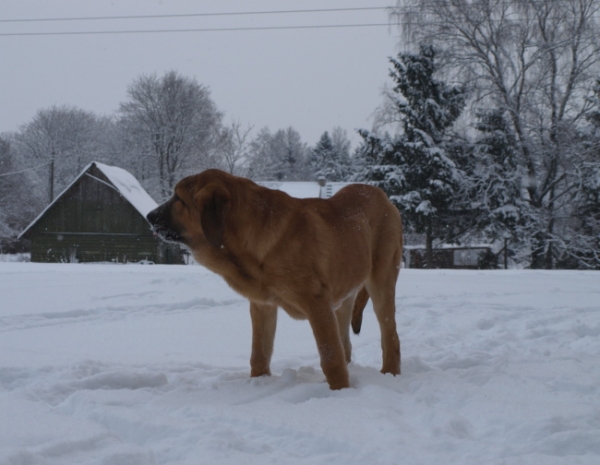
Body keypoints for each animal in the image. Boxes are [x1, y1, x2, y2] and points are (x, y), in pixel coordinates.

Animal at [146, 169, 404, 388]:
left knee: (390, 336)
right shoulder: (263, 306)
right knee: (346, 343)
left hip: (381, 282)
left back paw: (390, 375)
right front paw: (259, 383)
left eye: (179, 199)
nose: (149, 216)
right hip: (343, 296)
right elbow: (259, 354)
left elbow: (330, 356)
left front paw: (340, 392)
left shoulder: (317, 304)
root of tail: (382, 195)